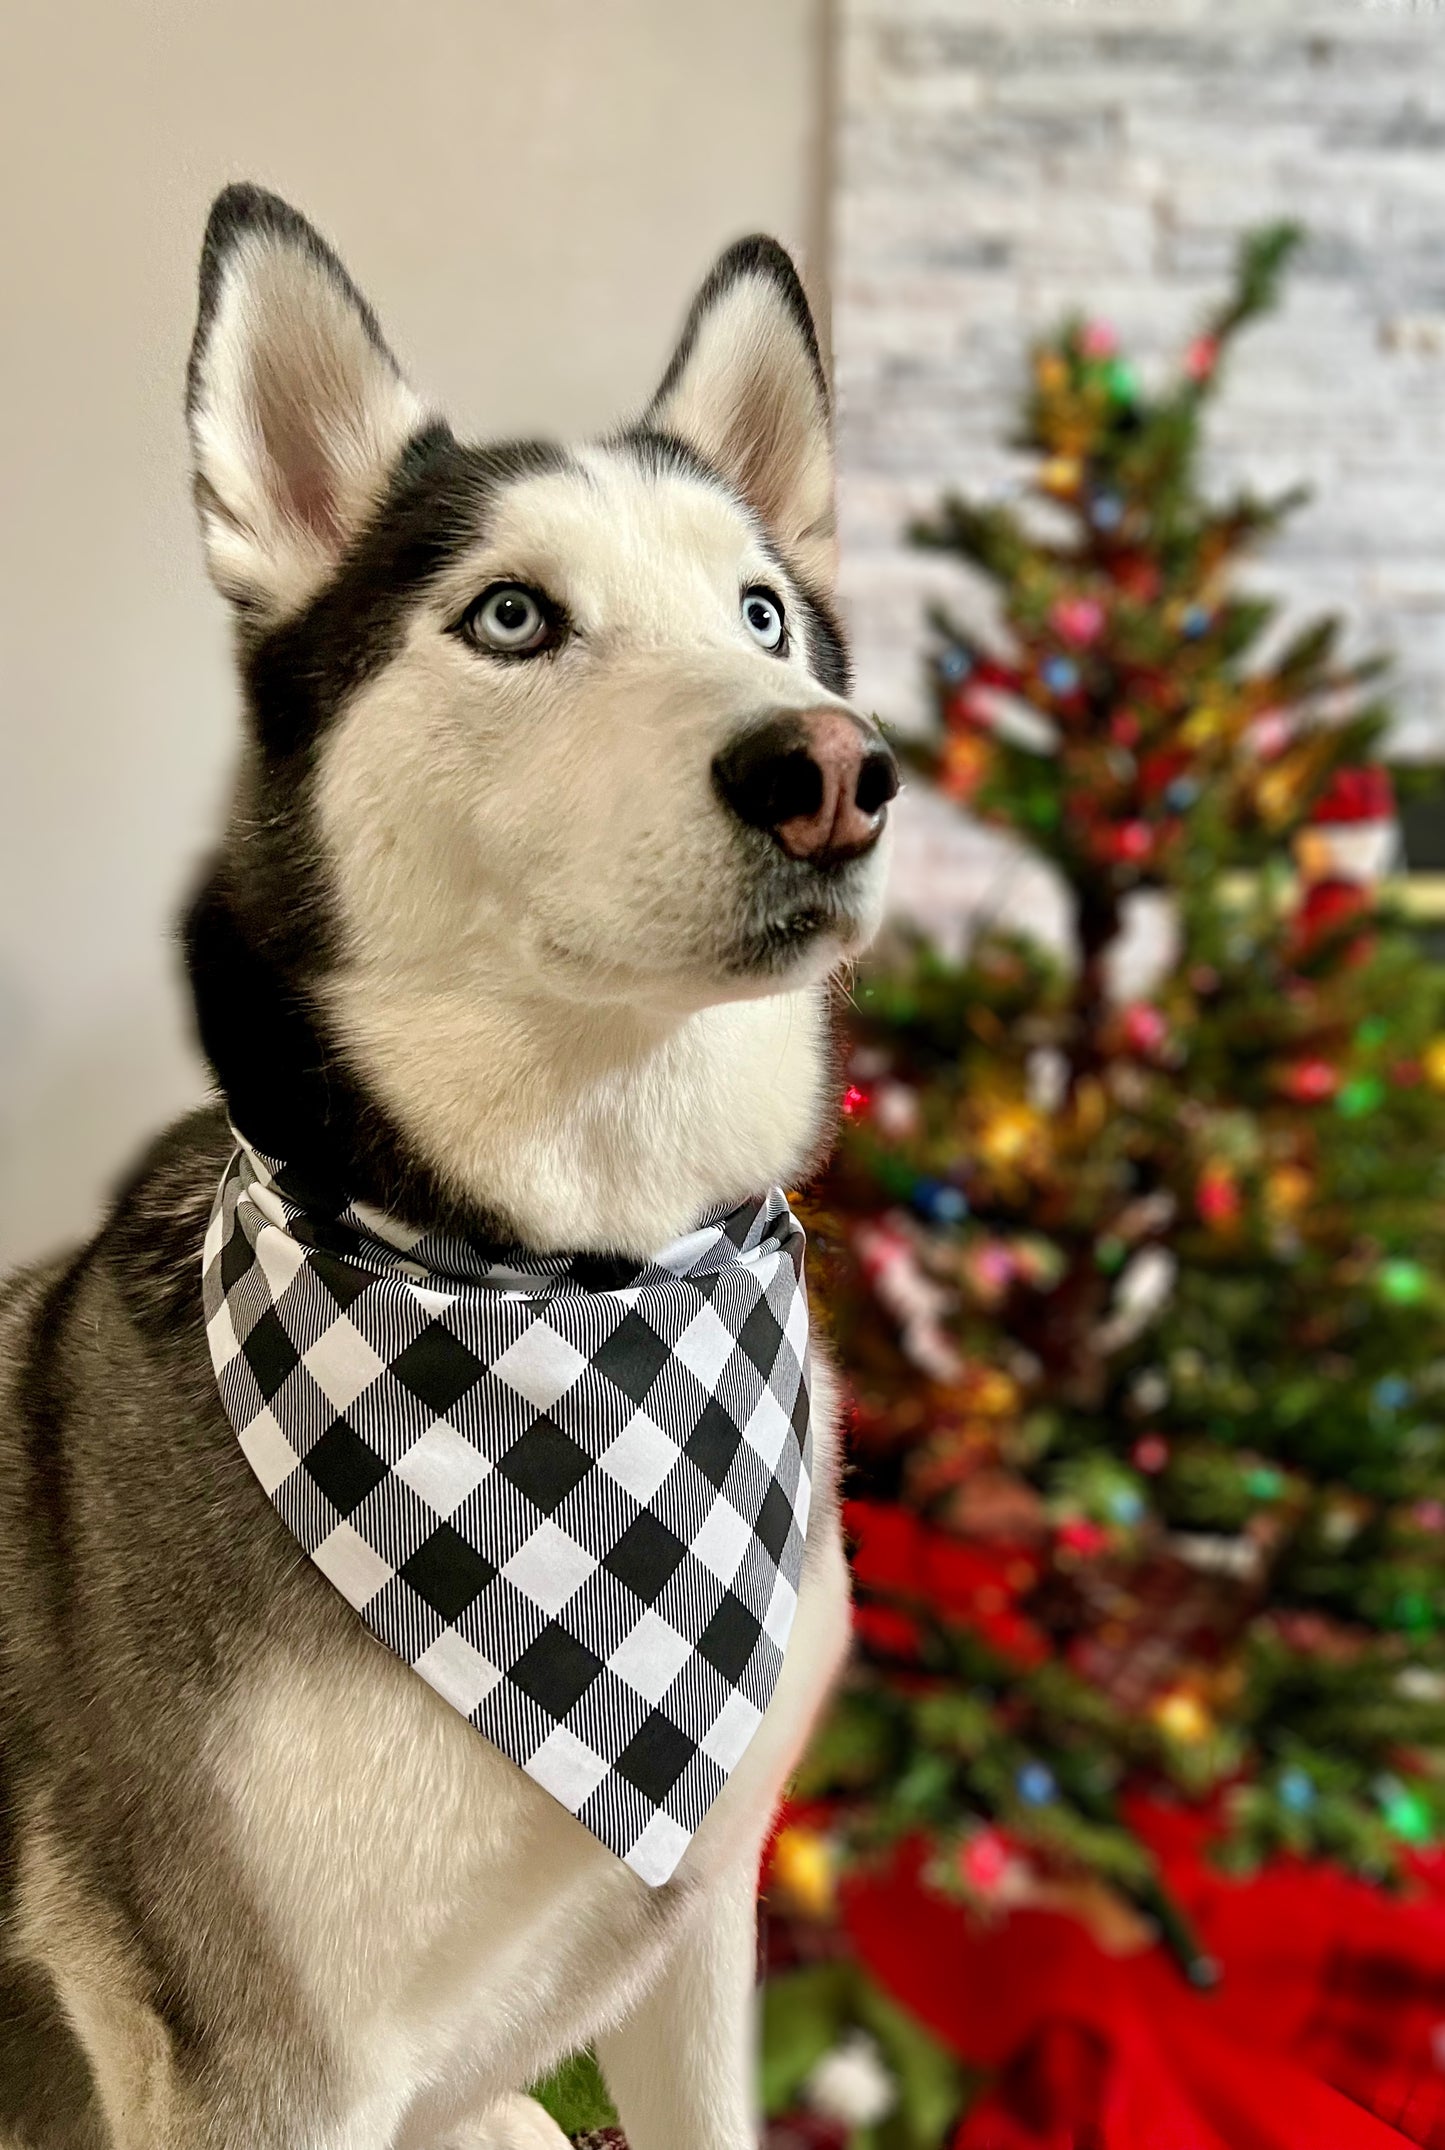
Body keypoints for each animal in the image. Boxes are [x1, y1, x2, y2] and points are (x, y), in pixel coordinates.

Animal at [0, 189, 890, 2150]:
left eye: (763, 612)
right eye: (510, 615)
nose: (833, 768)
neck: (581, 1266)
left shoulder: (702, 1921)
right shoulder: (269, 2071)